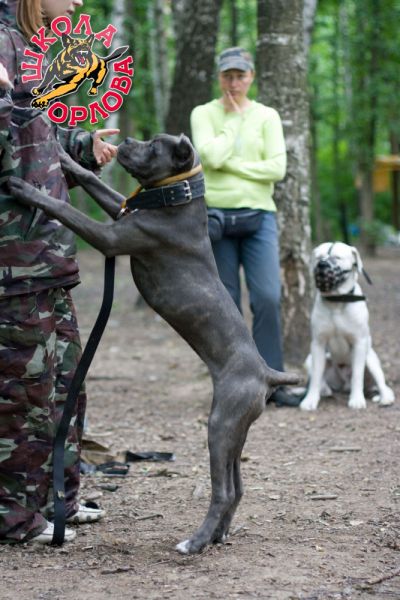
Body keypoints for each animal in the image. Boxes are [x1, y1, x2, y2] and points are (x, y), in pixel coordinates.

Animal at [8, 133, 299, 554]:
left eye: (153, 146)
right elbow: (92, 181)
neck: (175, 198)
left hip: (220, 425)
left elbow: (64, 207)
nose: (127, 139)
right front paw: (65, 156)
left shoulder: (110, 237)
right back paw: (218, 535)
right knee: (238, 487)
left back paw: (194, 542)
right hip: (237, 433)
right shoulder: (120, 211)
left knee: (223, 491)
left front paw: (25, 188)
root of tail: (267, 374)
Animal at [300, 242, 394, 411]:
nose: (322, 264)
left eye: (337, 257)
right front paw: (310, 400)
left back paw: (385, 398)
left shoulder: (359, 342)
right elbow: (316, 376)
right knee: (320, 377)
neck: (337, 300)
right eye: (318, 257)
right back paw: (325, 389)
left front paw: (356, 399)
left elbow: (357, 374)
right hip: (309, 359)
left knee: (382, 384)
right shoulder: (318, 344)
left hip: (371, 359)